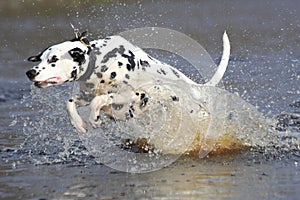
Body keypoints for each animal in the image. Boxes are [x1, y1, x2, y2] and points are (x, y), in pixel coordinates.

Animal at [26, 30, 230, 136]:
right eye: (41, 58)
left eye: (53, 59)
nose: (30, 72)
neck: (100, 62)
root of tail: (196, 87)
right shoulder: (86, 95)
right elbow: (69, 103)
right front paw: (79, 124)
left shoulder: (131, 94)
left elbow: (98, 101)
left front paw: (94, 119)